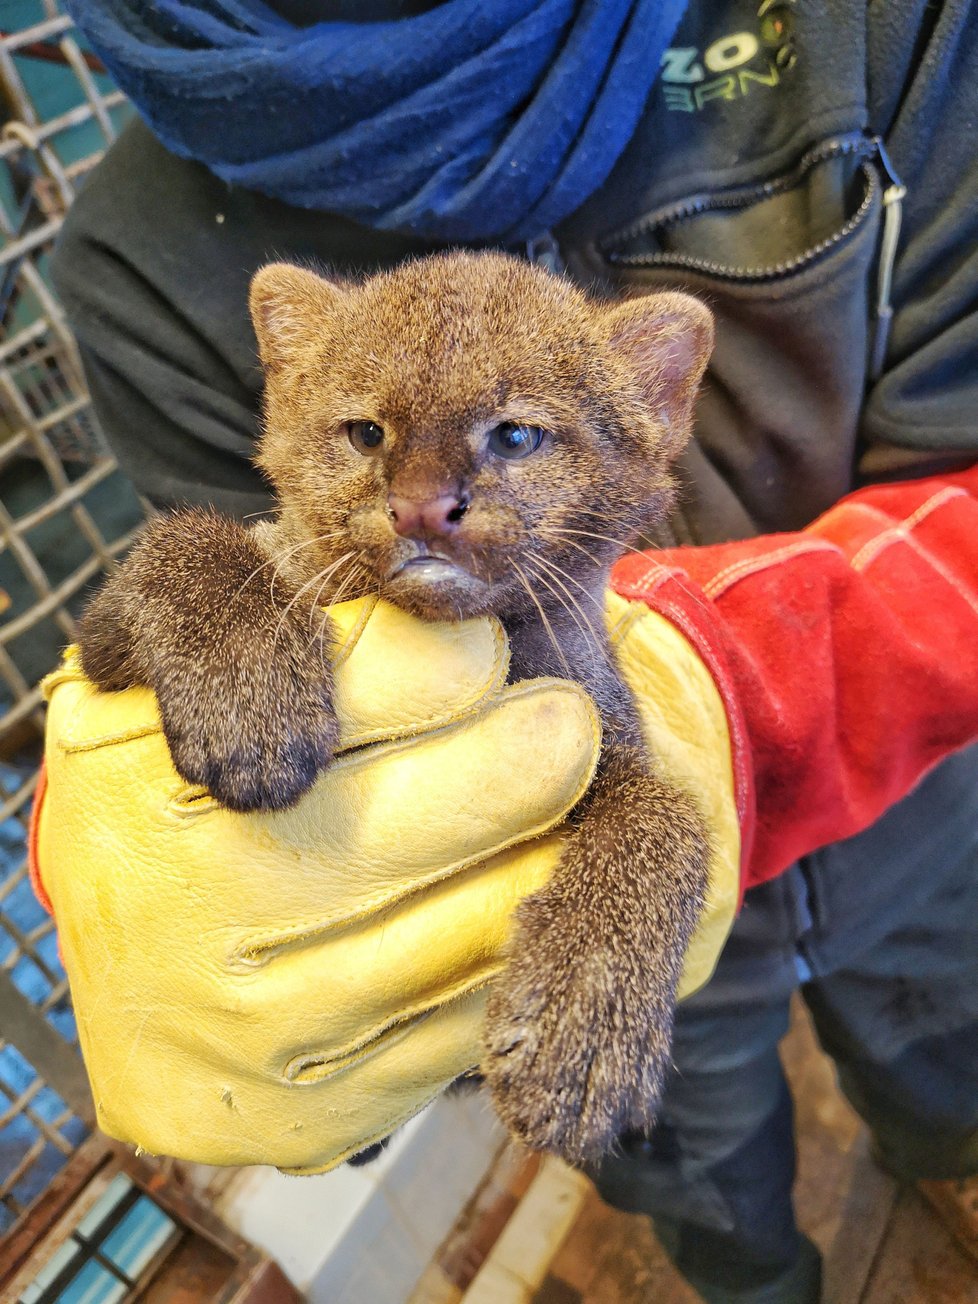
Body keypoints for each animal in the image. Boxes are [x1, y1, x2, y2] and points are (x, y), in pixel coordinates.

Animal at [78, 251, 714, 1163]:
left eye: (515, 433)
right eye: (366, 432)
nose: (419, 504)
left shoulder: (605, 735)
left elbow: (670, 822)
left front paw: (581, 1032)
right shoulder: (100, 642)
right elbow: (186, 538)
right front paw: (252, 702)